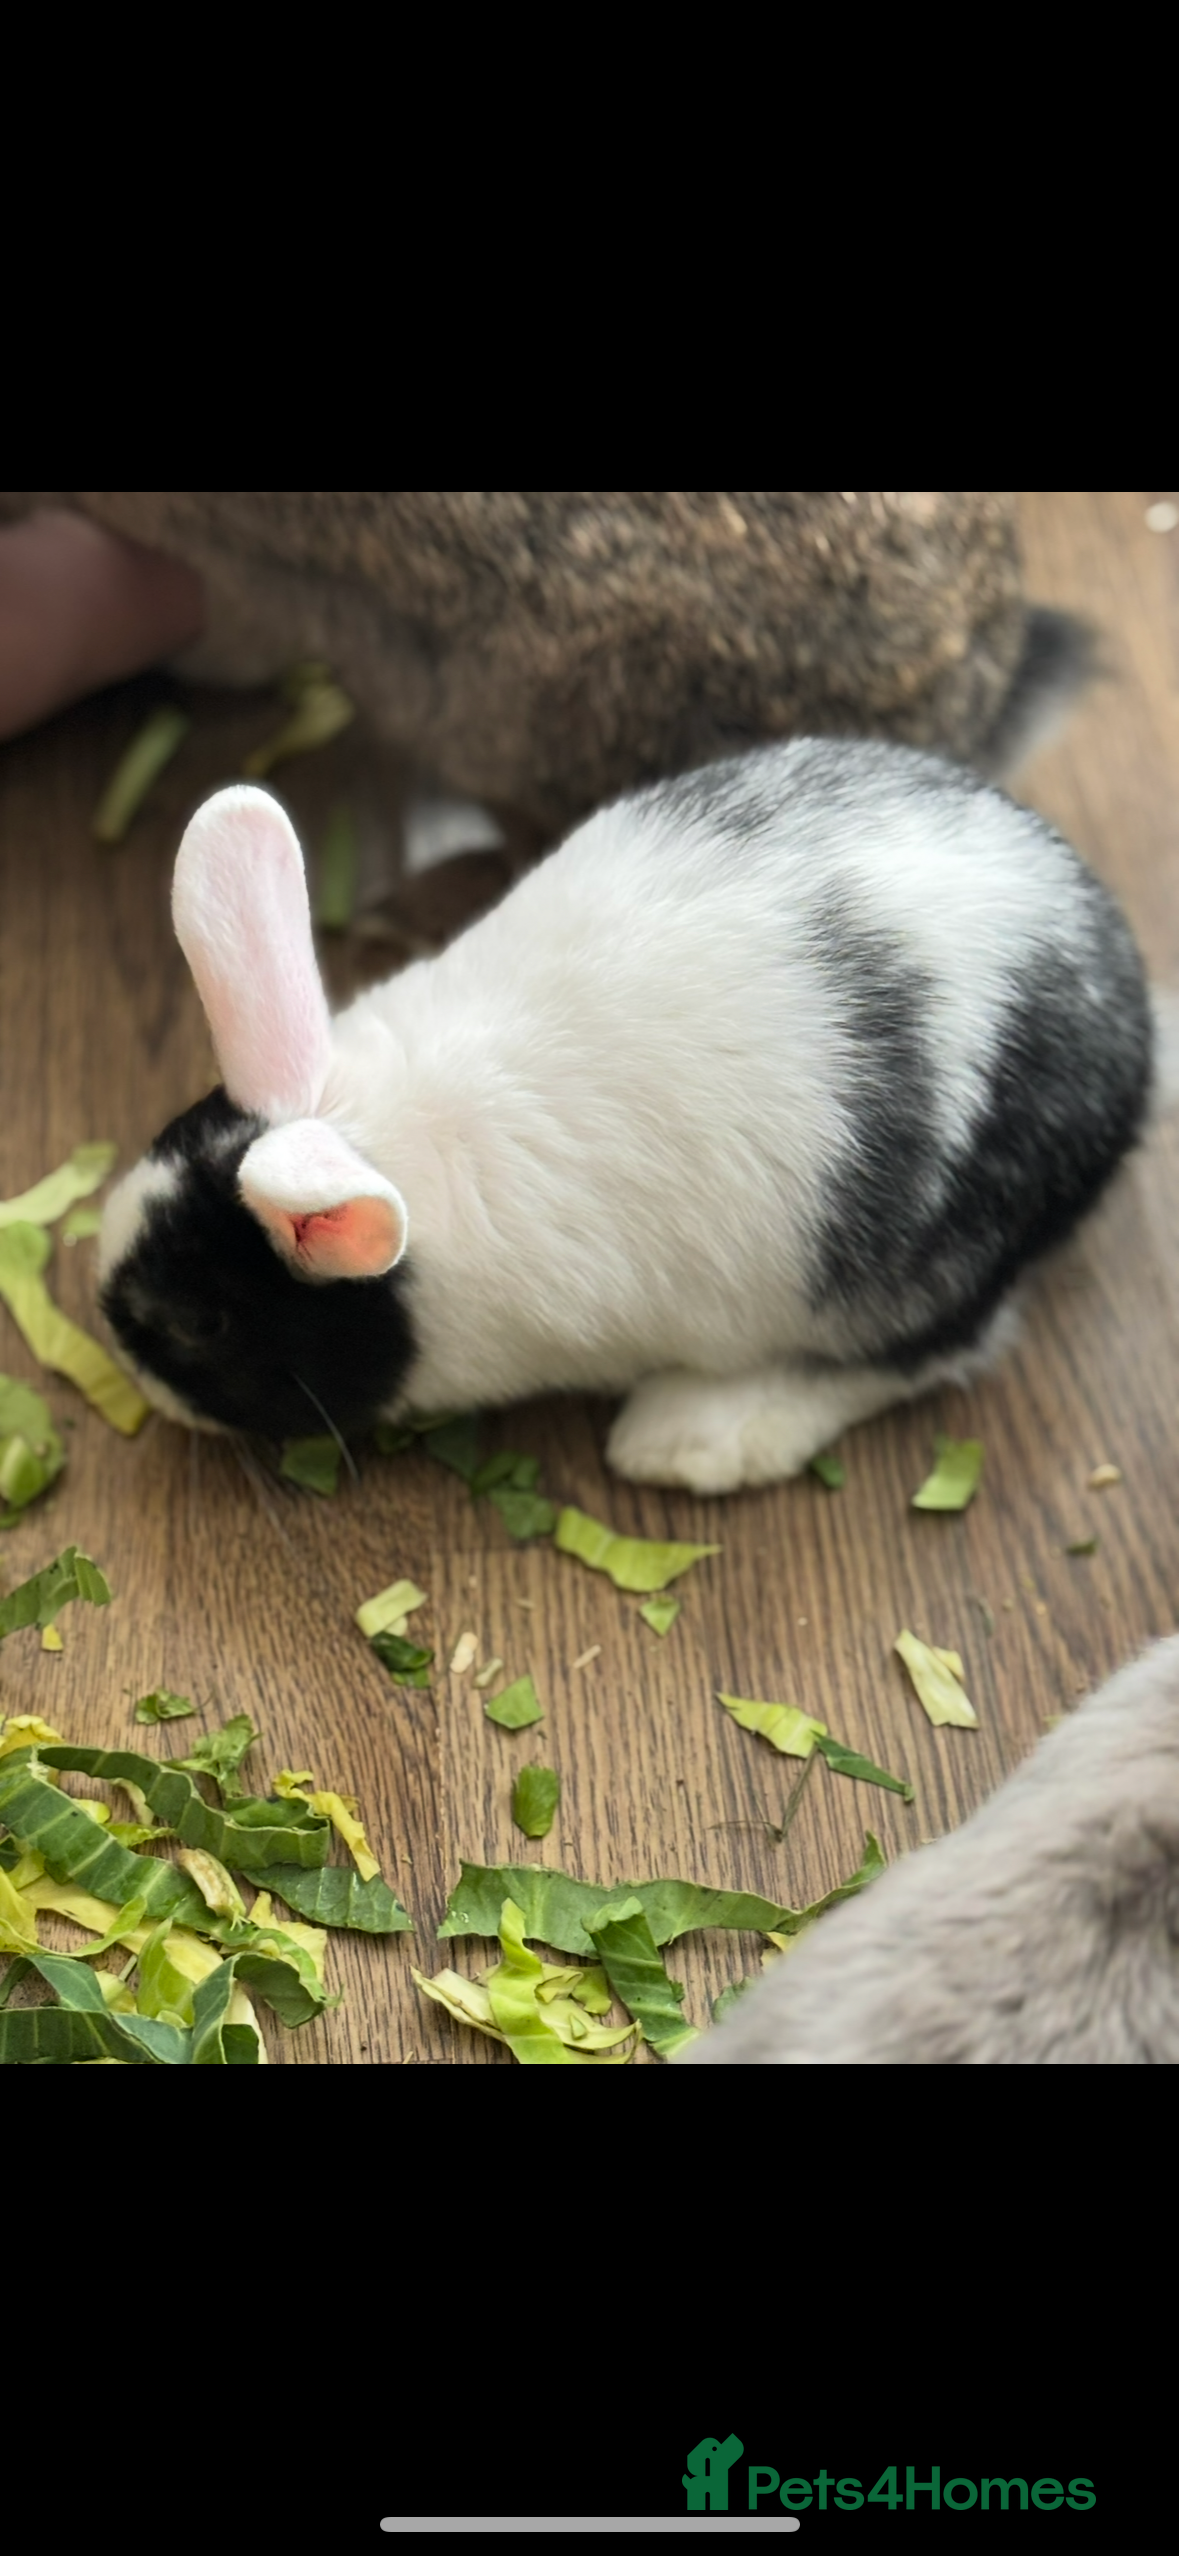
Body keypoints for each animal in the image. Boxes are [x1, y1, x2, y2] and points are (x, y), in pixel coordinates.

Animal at [97, 737, 1153, 1490]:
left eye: (200, 1322)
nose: (115, 1337)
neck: (381, 1134)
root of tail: (1134, 1032)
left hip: (923, 1263)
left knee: (937, 1350)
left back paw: (691, 1437)